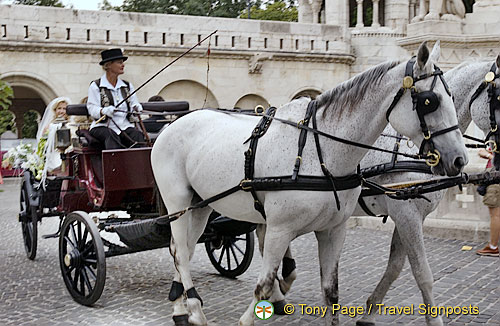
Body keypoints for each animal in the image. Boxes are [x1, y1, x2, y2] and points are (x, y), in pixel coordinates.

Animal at [150, 41, 466, 326]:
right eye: (430, 101)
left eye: (451, 97)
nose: (460, 159)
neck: (321, 150)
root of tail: (172, 123)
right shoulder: (280, 229)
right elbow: (263, 283)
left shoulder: (334, 230)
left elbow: (331, 291)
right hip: (178, 202)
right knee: (180, 250)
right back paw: (192, 308)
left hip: (201, 204)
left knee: (184, 248)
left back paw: (182, 307)